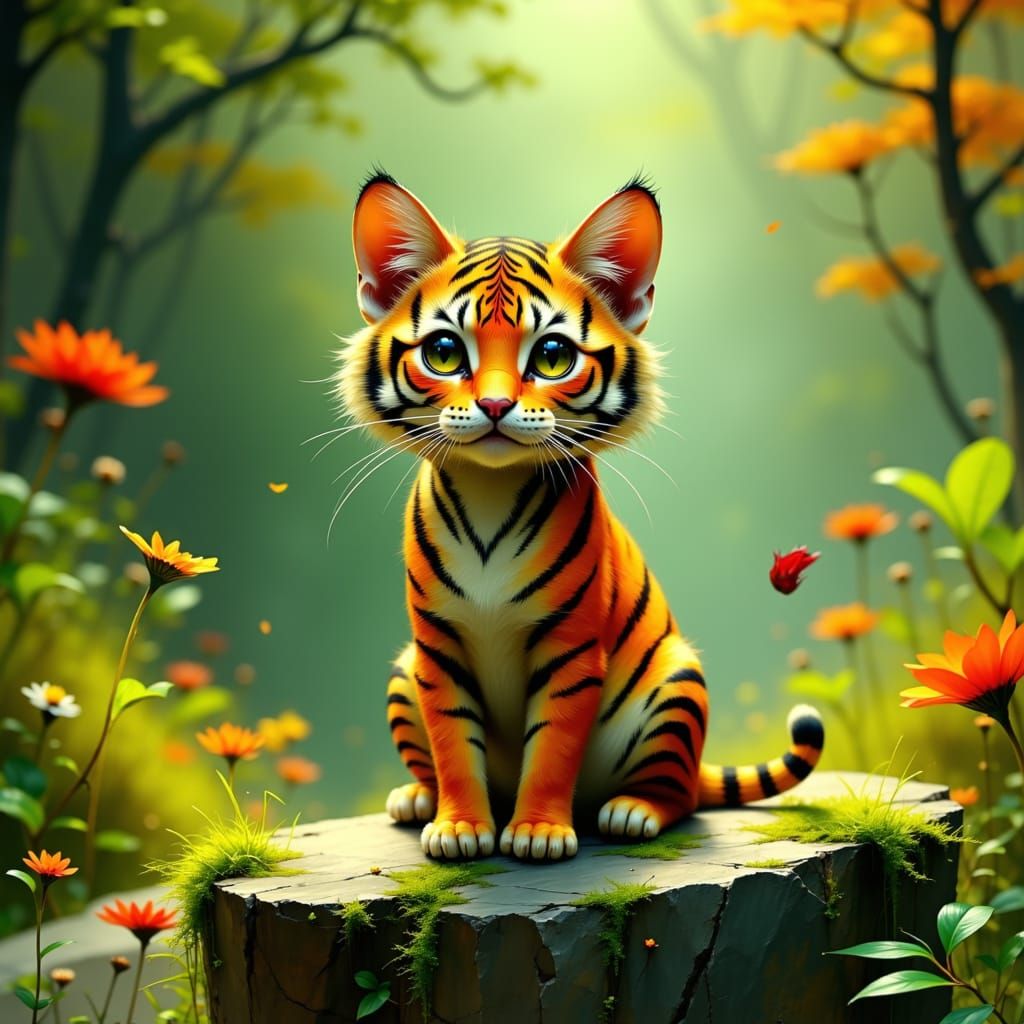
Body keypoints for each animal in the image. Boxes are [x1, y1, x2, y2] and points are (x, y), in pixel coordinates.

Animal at [336, 171, 824, 862]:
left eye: (552, 356)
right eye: (444, 351)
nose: (494, 405)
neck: (490, 491)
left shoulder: (569, 648)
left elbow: (552, 747)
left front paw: (538, 833)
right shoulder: (437, 649)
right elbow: (454, 744)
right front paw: (460, 828)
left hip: (676, 685)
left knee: (679, 793)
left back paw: (632, 811)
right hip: (403, 675)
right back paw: (417, 798)